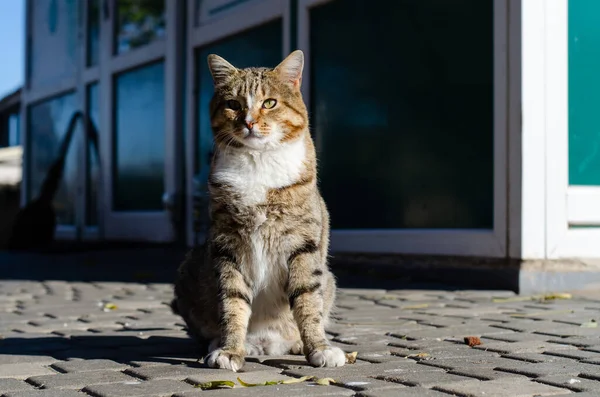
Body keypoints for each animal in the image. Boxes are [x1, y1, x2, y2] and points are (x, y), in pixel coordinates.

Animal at [171, 51, 344, 370]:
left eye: (270, 103)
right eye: (233, 104)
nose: (249, 123)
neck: (258, 160)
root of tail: (268, 343)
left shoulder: (303, 244)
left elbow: (307, 300)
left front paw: (319, 348)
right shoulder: (227, 245)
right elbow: (232, 300)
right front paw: (230, 349)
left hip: (329, 278)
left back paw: (296, 343)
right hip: (189, 268)